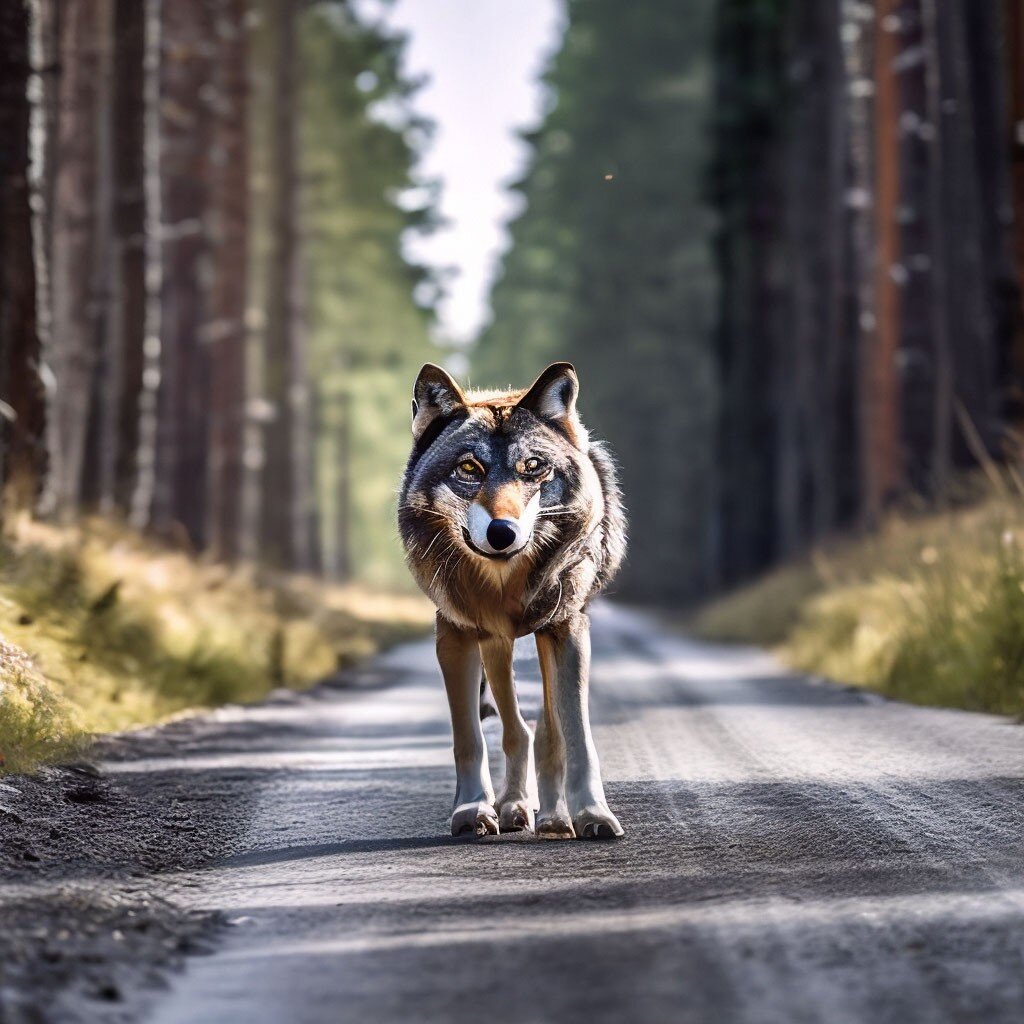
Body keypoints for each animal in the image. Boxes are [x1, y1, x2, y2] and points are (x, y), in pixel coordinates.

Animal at [397, 360, 622, 839]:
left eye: (532, 467)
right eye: (469, 468)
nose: (503, 532)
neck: (504, 584)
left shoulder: (567, 628)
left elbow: (577, 736)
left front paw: (592, 814)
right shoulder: (456, 635)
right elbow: (468, 739)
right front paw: (473, 810)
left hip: (545, 636)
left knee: (548, 732)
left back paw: (553, 818)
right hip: (496, 647)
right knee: (518, 729)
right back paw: (516, 807)